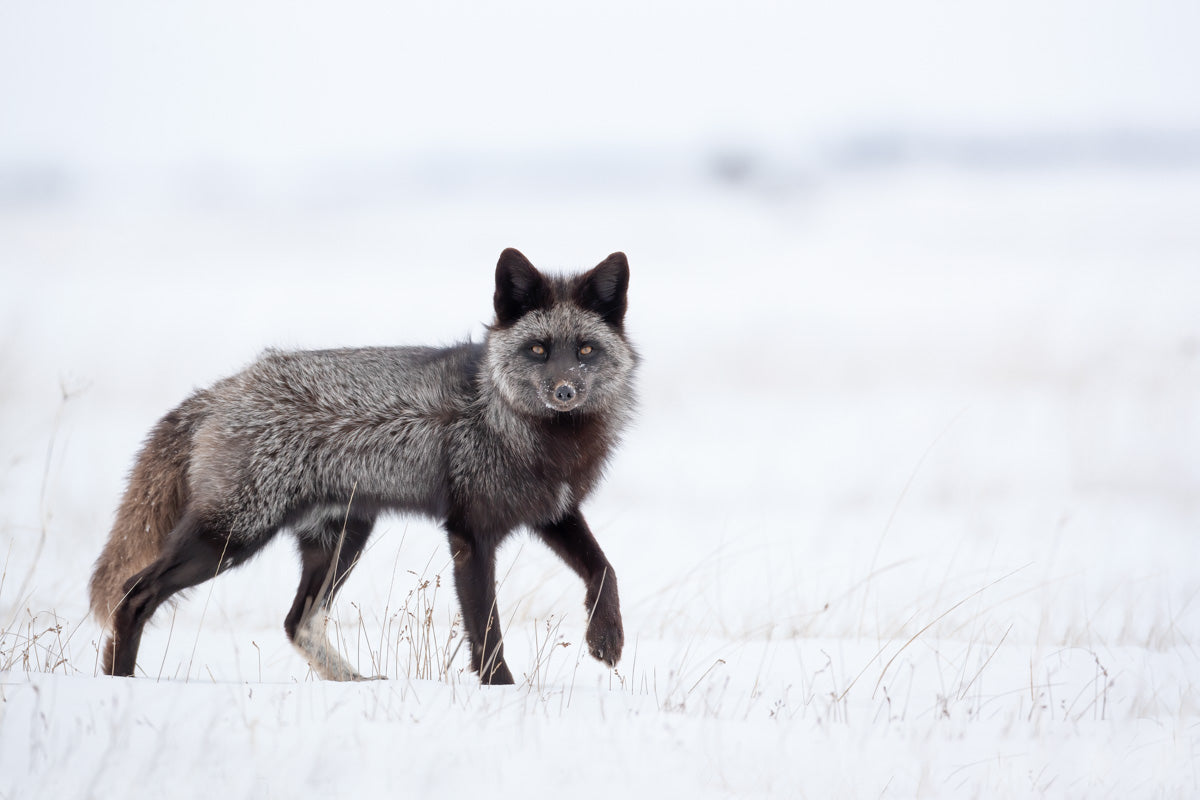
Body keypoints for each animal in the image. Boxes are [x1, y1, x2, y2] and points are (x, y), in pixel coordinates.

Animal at [88, 248, 637, 684]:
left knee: (297, 623)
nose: (564, 391)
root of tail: (225, 388)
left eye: (585, 349)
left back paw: (354, 683)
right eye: (538, 349)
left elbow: (605, 569)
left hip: (341, 538)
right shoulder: (471, 533)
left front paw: (606, 638)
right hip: (231, 536)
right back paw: (120, 685)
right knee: (133, 594)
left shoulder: (553, 510)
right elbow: (486, 630)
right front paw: (501, 693)